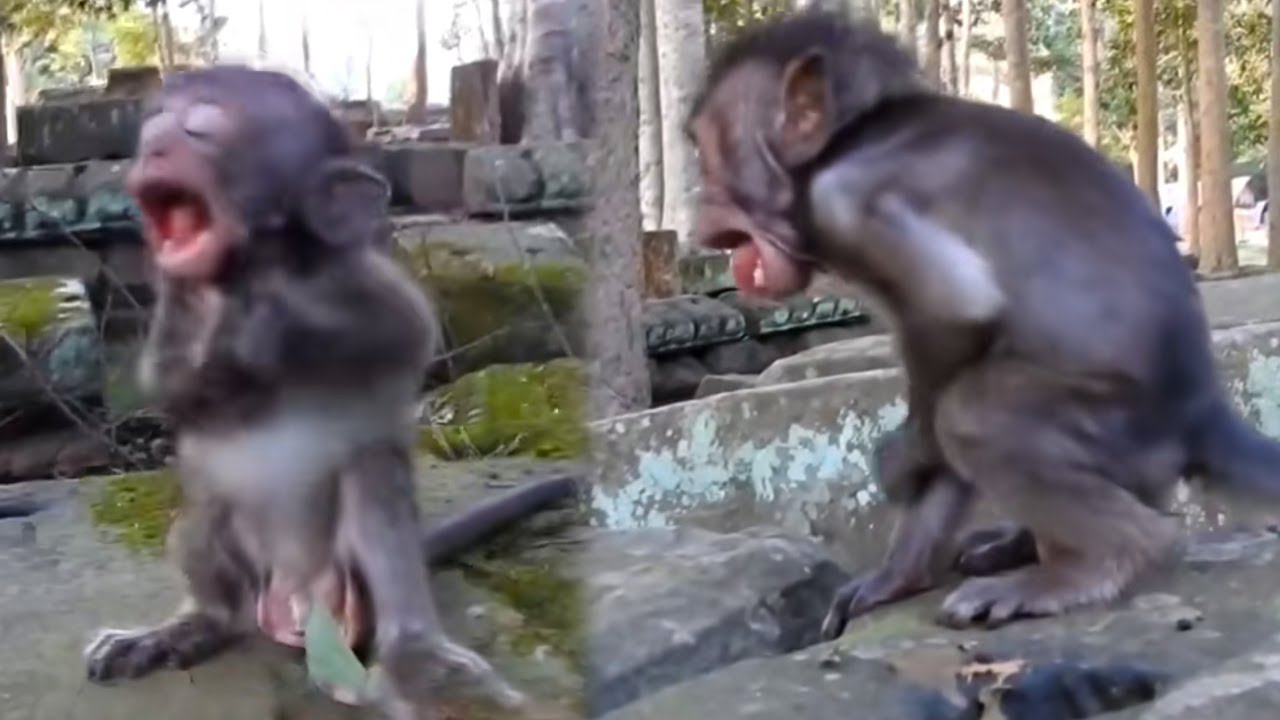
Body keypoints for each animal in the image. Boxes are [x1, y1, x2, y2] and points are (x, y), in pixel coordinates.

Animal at [80, 65, 576, 718]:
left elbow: (406, 339)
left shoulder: (356, 275)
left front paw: (272, 325)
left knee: (375, 488)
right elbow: (169, 391)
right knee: (205, 515)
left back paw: (419, 660)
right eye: (155, 126)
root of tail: (293, 605)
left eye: (201, 129)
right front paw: (232, 341)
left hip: (349, 579)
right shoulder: (176, 298)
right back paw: (195, 624)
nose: (155, 145)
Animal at [685, 11, 1280, 639]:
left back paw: (1096, 562)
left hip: (1125, 419)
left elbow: (958, 312)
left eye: (708, 155)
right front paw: (896, 573)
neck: (843, 145)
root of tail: (1202, 413)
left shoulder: (849, 197)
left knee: (972, 413)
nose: (699, 215)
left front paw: (905, 457)